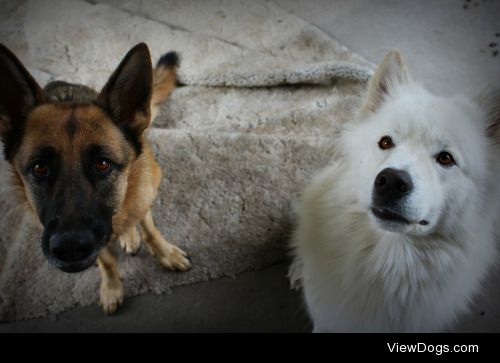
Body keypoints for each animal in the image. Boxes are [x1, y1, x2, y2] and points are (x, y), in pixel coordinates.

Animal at [0, 42, 190, 314]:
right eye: (39, 168)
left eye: (102, 163)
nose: (69, 248)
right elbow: (107, 261)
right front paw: (112, 289)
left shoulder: (144, 197)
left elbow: (150, 230)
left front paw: (166, 254)